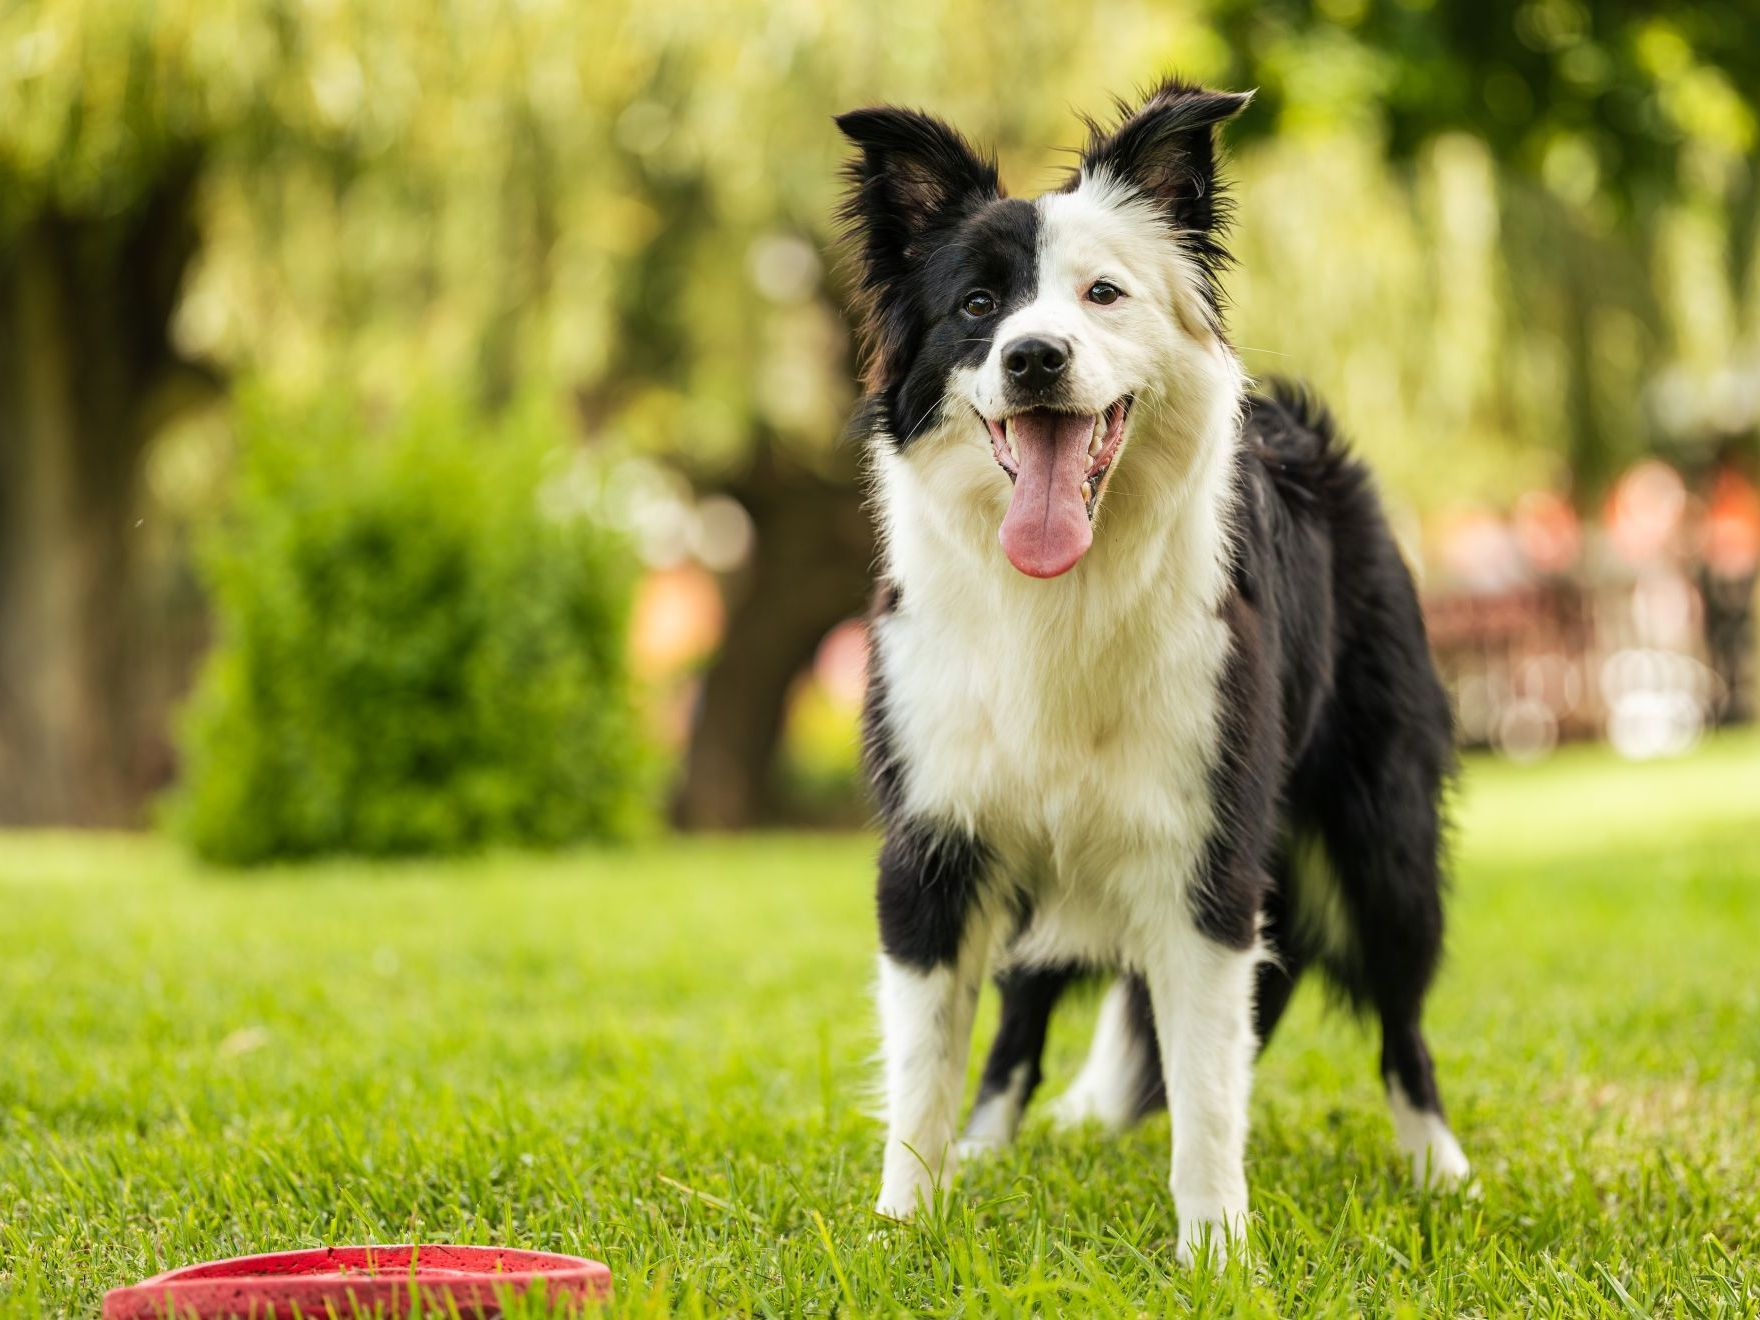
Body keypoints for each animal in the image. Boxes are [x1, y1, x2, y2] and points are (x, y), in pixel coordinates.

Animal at [837, 80, 1471, 1260]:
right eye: (977, 306)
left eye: (1103, 295)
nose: (1035, 358)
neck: (1055, 596)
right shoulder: (935, 842)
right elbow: (922, 1066)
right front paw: (904, 1229)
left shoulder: (1204, 857)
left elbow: (1209, 1088)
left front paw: (1215, 1255)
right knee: (1019, 1020)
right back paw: (990, 1148)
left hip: (1385, 833)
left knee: (1401, 1015)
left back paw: (1437, 1166)